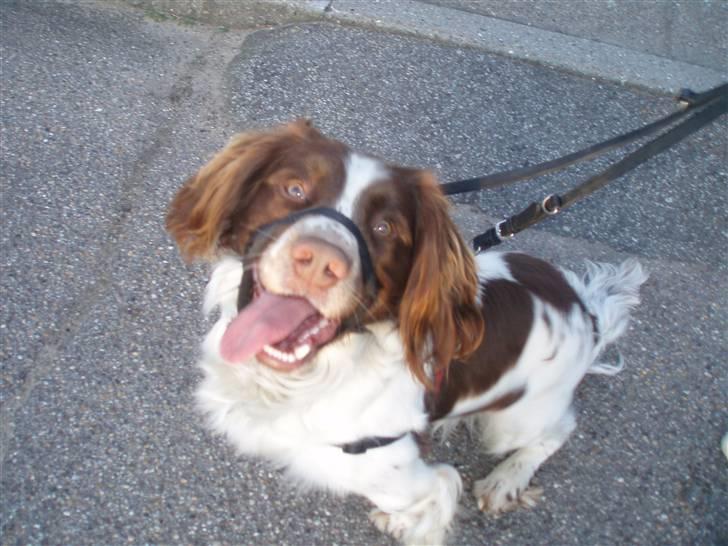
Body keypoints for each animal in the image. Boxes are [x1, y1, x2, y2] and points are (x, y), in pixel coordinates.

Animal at [166, 121, 648, 540]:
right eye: (294, 189)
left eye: (384, 228)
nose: (320, 261)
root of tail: (585, 310)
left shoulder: (402, 473)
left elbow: (436, 497)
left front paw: (405, 521)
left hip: (511, 421)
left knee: (557, 429)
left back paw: (505, 480)